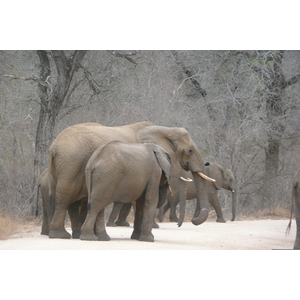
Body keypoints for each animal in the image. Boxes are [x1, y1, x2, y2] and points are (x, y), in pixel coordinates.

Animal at [47, 121, 213, 239]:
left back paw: (77, 235)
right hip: (71, 164)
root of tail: (53, 147)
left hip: (61, 167)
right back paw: (61, 235)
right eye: (190, 151)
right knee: (65, 198)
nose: (184, 223)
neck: (165, 129)